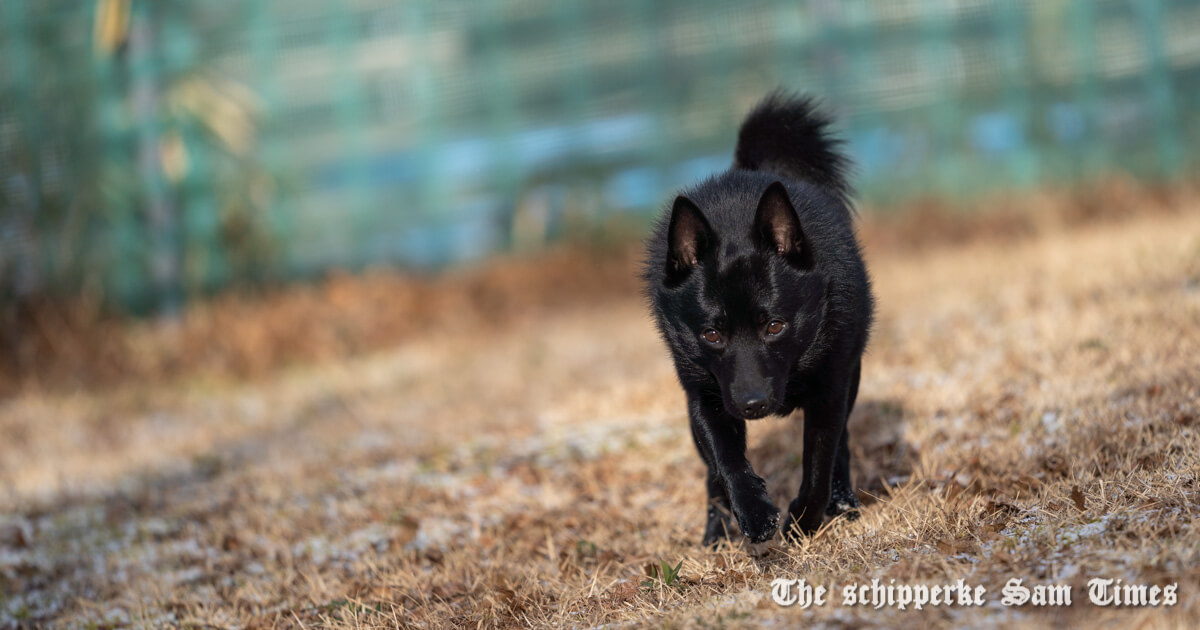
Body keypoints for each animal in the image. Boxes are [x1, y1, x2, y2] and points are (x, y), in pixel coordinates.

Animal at [648, 90, 873, 542]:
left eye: (775, 326)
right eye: (712, 334)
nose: (753, 404)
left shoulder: (831, 388)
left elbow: (819, 465)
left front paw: (802, 521)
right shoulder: (706, 397)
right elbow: (727, 462)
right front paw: (754, 514)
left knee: (841, 446)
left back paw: (843, 503)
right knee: (711, 473)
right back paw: (717, 530)